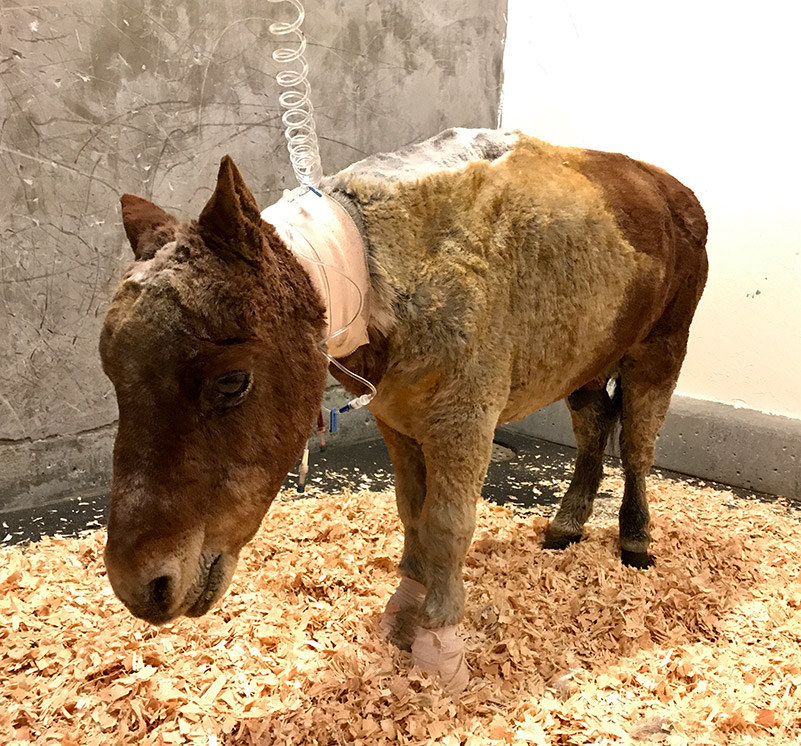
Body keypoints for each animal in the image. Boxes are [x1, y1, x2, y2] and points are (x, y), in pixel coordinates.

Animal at [99, 128, 708, 692]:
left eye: (231, 381)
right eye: (113, 375)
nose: (141, 586)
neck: (387, 272)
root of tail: (674, 190)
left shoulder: (463, 425)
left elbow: (445, 526)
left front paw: (440, 648)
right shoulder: (400, 422)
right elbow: (411, 516)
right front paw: (402, 615)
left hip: (660, 348)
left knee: (638, 445)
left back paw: (635, 540)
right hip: (587, 359)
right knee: (594, 425)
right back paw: (567, 524)